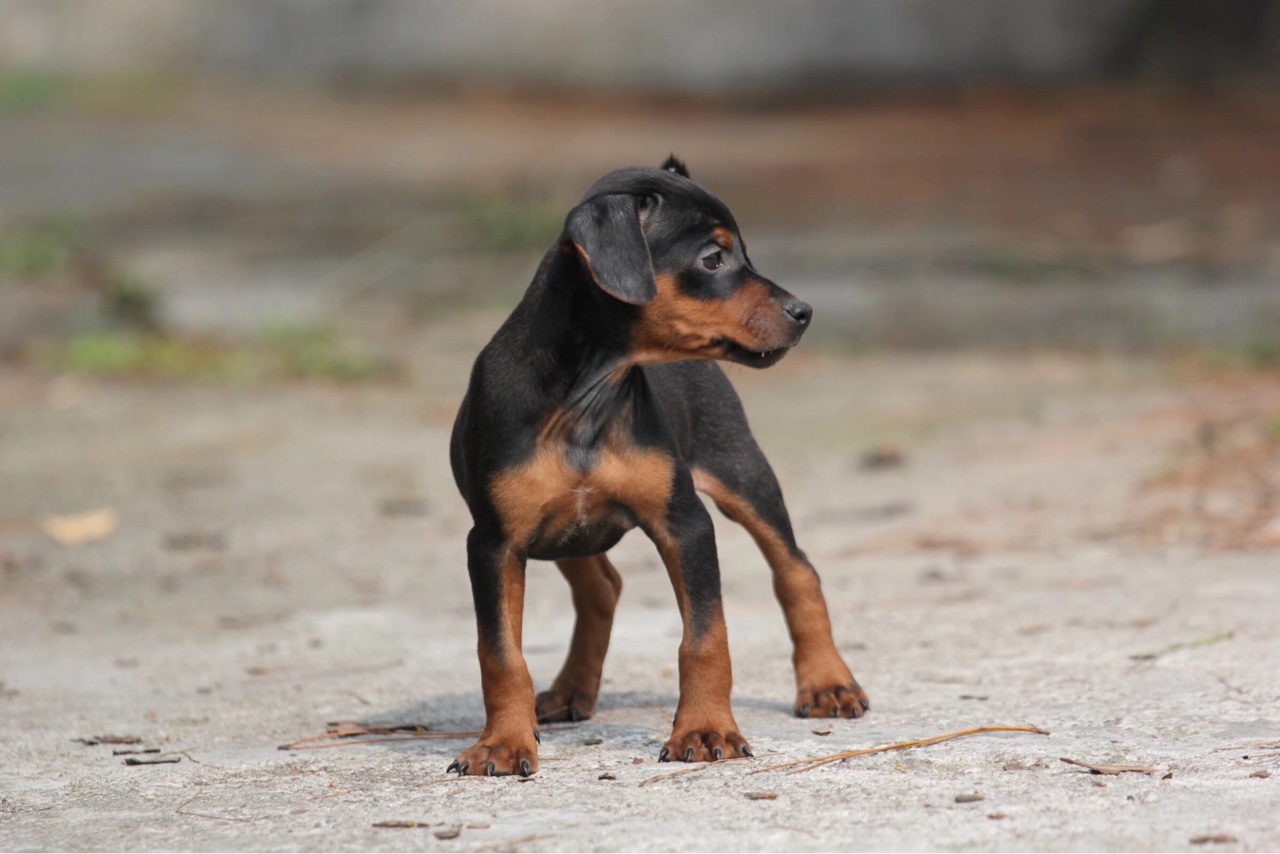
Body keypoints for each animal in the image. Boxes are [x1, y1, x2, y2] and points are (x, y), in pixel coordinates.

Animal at [448, 156, 870, 778]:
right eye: (713, 258)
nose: (805, 312)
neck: (586, 396)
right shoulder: (495, 542)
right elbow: (500, 654)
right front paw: (501, 744)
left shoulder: (685, 523)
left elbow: (705, 638)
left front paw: (705, 730)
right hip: (562, 533)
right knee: (602, 589)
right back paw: (571, 691)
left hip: (742, 471)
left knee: (797, 571)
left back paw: (828, 684)